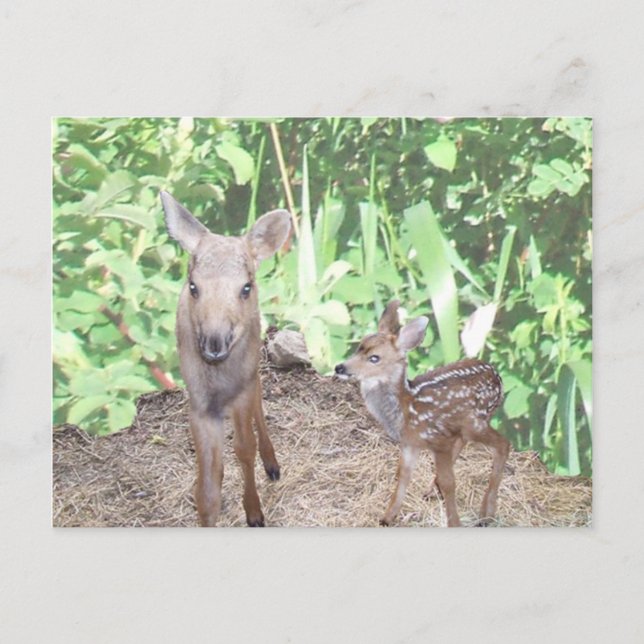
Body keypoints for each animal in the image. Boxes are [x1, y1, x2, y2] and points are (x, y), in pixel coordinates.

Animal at [160, 191, 291, 527]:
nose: (214, 344)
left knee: (259, 398)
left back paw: (271, 464)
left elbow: (245, 448)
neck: (218, 378)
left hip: (253, 361)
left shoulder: (242, 385)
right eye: (193, 286)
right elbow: (207, 484)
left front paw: (255, 512)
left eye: (245, 287)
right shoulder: (199, 402)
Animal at [334, 300, 510, 527]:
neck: (408, 409)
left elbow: (449, 482)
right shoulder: (410, 443)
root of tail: (498, 377)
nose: (339, 367)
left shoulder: (438, 440)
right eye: (359, 347)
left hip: (476, 422)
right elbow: (403, 475)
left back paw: (486, 513)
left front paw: (454, 523)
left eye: (374, 358)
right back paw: (433, 491)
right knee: (466, 443)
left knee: (503, 444)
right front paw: (387, 517)